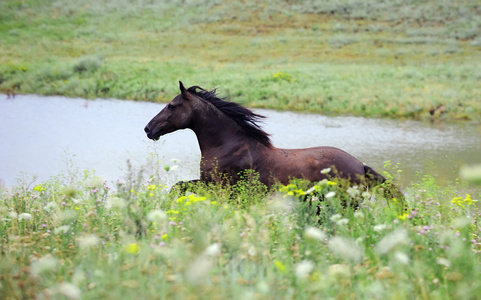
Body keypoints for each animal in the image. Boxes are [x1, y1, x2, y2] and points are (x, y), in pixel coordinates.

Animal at [143, 82, 386, 190]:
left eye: (171, 106)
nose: (148, 129)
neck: (227, 146)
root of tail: (360, 165)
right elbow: (178, 186)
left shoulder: (219, 187)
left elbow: (177, 188)